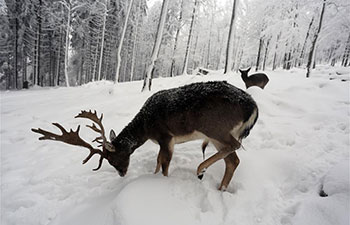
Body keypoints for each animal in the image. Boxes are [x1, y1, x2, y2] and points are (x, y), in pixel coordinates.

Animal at [32, 81, 258, 190]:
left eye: (113, 158)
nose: (122, 173)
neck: (146, 126)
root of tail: (253, 107)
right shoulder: (161, 141)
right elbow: (158, 162)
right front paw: (154, 176)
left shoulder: (166, 136)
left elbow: (165, 164)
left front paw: (162, 180)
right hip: (217, 136)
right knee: (233, 160)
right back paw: (220, 188)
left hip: (215, 128)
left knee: (235, 147)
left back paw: (201, 169)